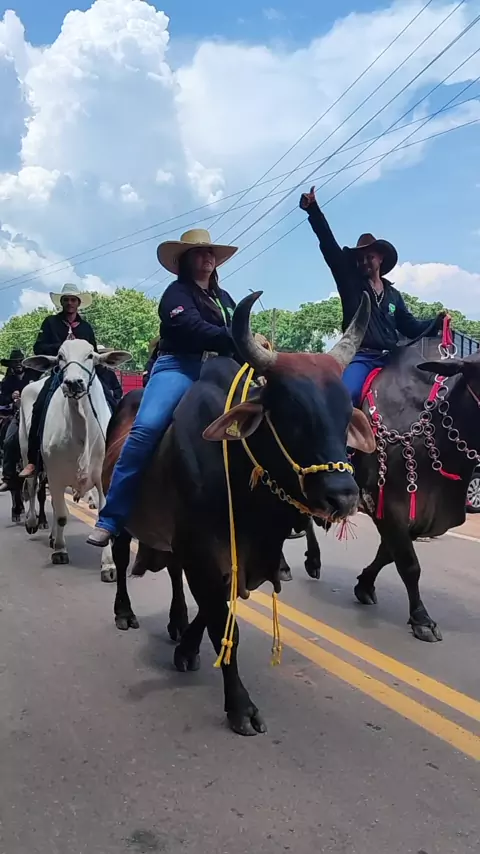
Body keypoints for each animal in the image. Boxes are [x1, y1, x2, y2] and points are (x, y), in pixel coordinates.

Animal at [21, 339, 131, 579]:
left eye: (90, 355)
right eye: (60, 356)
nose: (73, 383)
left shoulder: (103, 478)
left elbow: (102, 517)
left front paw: (108, 565)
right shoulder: (55, 475)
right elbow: (62, 514)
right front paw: (60, 551)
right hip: (27, 452)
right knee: (33, 487)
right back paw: (33, 522)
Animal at [104, 291, 375, 735]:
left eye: (342, 413)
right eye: (291, 413)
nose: (343, 497)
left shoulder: (234, 557)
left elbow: (216, 609)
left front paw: (187, 647)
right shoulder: (202, 553)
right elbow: (220, 623)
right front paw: (240, 706)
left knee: (173, 573)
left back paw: (177, 621)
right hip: (119, 511)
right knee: (122, 555)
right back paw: (124, 612)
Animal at [299, 345, 480, 643]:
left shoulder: (415, 515)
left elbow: (388, 554)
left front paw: (364, 585)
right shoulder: (389, 505)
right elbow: (408, 563)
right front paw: (421, 618)